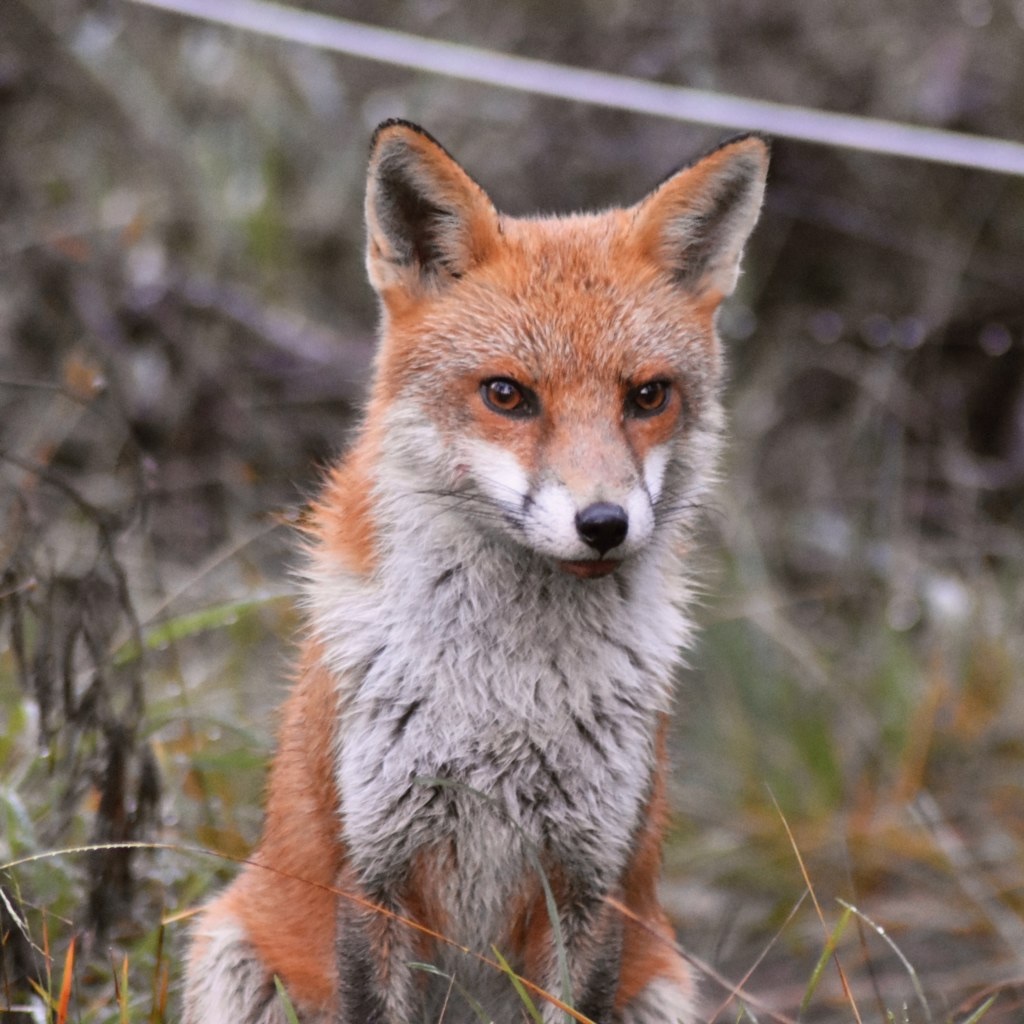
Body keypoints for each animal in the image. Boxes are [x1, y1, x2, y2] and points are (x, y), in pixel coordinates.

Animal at [182, 121, 770, 1024]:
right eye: (506, 395)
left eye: (647, 396)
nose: (605, 524)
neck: (505, 698)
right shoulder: (374, 870)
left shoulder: (591, 880)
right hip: (232, 948)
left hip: (661, 981)